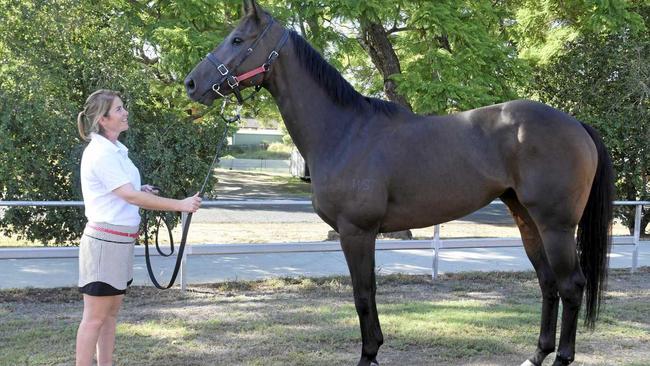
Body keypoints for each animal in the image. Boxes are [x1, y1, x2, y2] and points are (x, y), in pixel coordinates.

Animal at [184, 1, 612, 364]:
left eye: (237, 40)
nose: (191, 84)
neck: (345, 132)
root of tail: (576, 124)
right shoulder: (363, 234)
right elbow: (369, 291)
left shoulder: (356, 232)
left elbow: (362, 294)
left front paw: (368, 354)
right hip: (527, 219)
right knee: (548, 283)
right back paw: (537, 354)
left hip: (556, 225)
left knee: (571, 285)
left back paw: (562, 357)